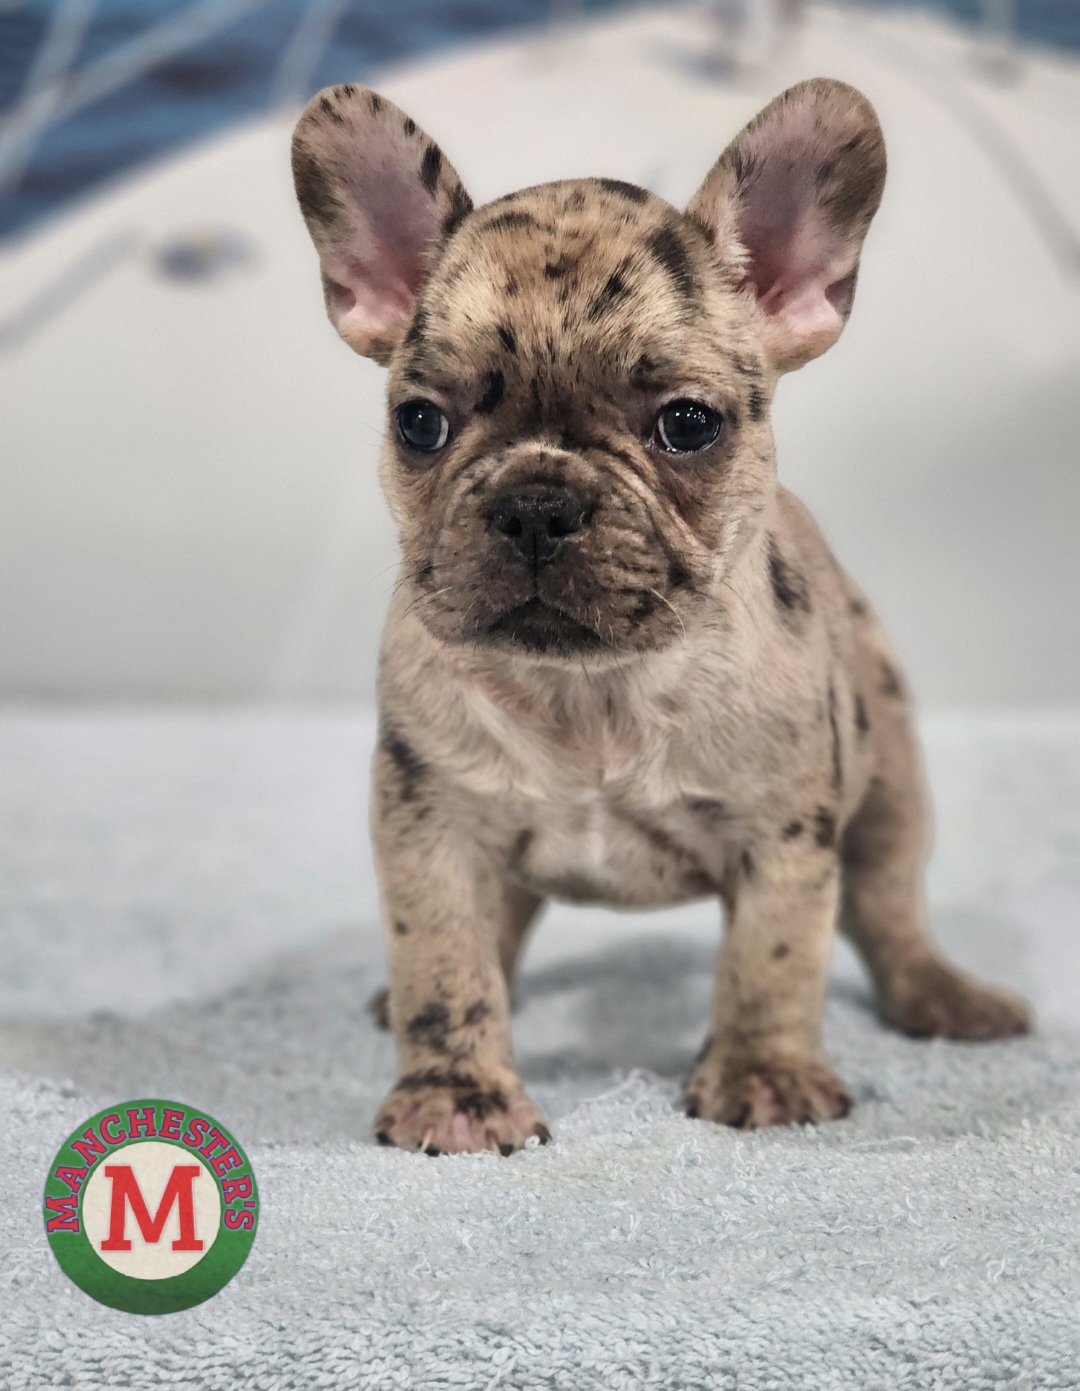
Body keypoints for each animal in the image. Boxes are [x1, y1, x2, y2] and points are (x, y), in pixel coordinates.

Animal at [291, 78, 1031, 1154]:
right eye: (419, 422)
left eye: (687, 424)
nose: (536, 502)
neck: (592, 691)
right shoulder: (429, 823)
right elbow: (445, 958)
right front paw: (457, 1089)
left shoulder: (783, 832)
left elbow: (774, 957)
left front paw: (763, 1071)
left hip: (891, 787)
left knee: (891, 907)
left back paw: (945, 996)